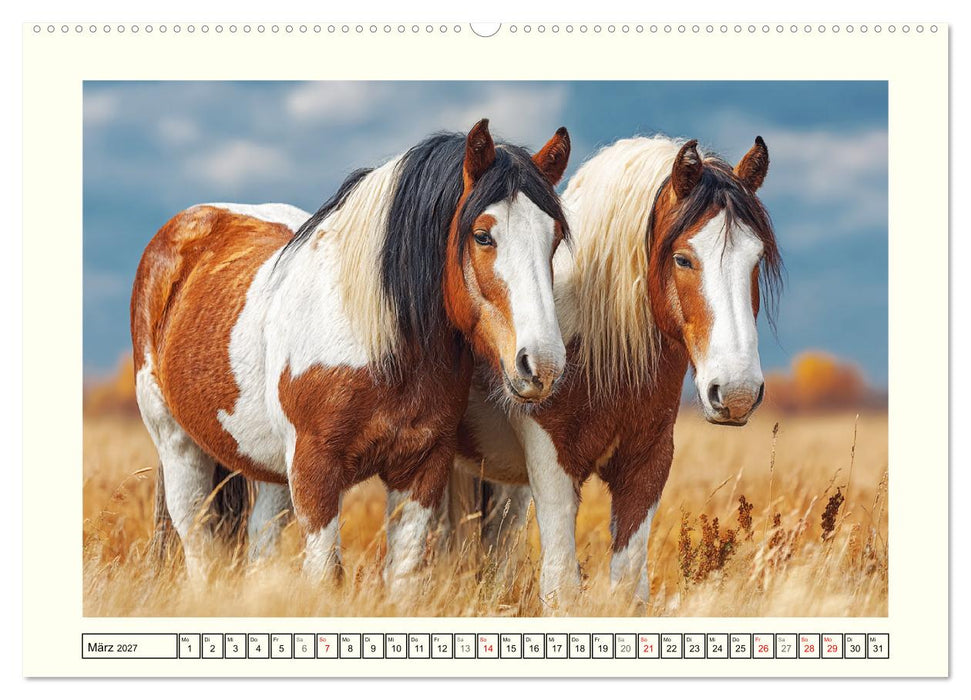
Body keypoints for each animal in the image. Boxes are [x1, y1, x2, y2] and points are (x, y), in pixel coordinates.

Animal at [130, 119, 573, 589]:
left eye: (554, 239)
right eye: (483, 235)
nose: (541, 365)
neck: (379, 347)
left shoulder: (421, 470)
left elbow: (402, 576)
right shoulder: (315, 473)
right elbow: (325, 576)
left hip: (269, 472)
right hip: (178, 445)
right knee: (199, 544)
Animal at [453, 134, 783, 605]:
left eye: (755, 259)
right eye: (682, 259)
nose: (737, 394)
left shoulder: (648, 464)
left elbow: (628, 583)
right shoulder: (552, 463)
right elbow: (561, 584)